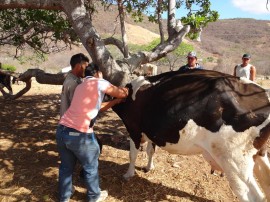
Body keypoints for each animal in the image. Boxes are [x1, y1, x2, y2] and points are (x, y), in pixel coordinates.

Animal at [113, 69, 270, 202]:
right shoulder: (151, 132)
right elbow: (150, 150)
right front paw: (149, 167)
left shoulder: (133, 128)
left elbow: (132, 154)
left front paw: (128, 174)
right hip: (257, 154)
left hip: (234, 160)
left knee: (251, 196)